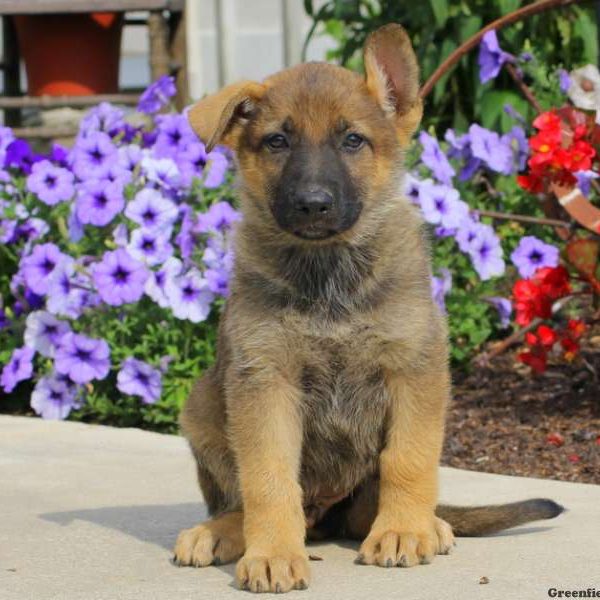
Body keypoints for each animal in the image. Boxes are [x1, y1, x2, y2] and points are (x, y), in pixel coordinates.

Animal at [172, 22, 564, 592]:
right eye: (277, 141)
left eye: (352, 140)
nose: (313, 204)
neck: (328, 273)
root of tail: (326, 516)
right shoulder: (265, 379)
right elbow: (267, 478)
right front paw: (272, 553)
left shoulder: (413, 369)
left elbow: (408, 459)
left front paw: (403, 531)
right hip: (203, 401)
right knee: (241, 500)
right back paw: (219, 532)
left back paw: (429, 523)